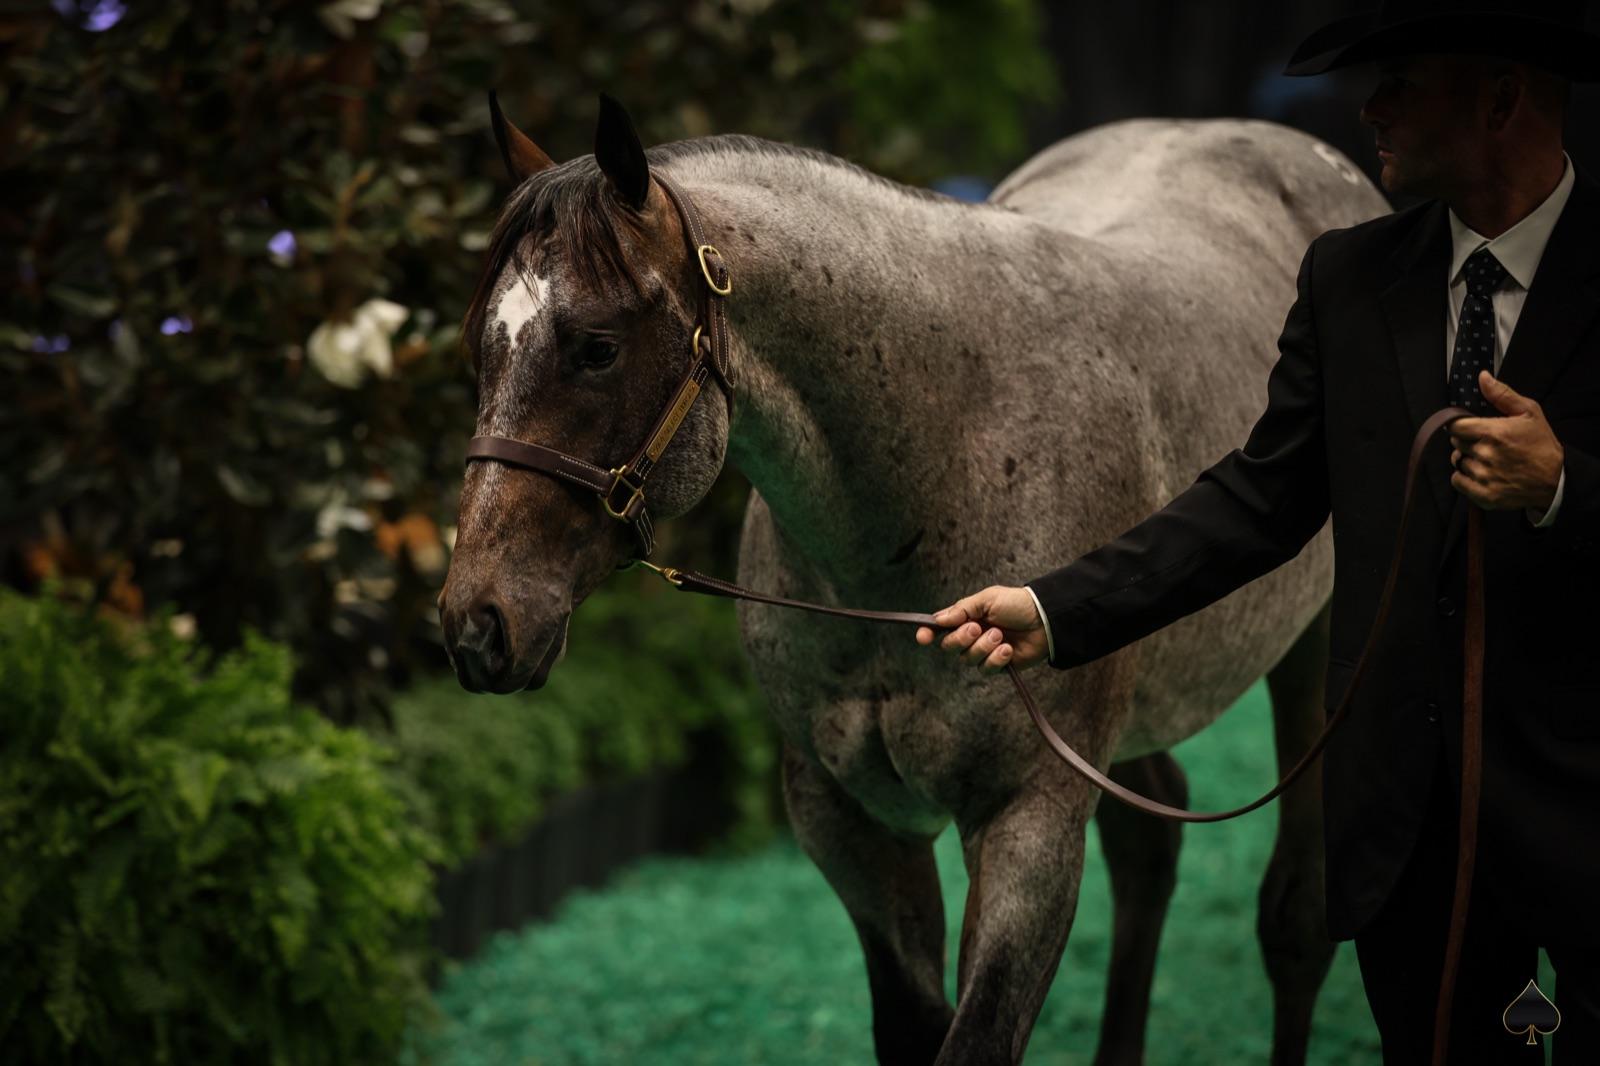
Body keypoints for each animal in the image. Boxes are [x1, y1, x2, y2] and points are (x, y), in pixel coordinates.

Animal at [439, 94, 1388, 1065]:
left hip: (1310, 663)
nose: (478, 622)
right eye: (482, 344)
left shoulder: (1029, 825)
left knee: (1295, 918)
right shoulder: (852, 822)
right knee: (1150, 848)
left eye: (595, 348)